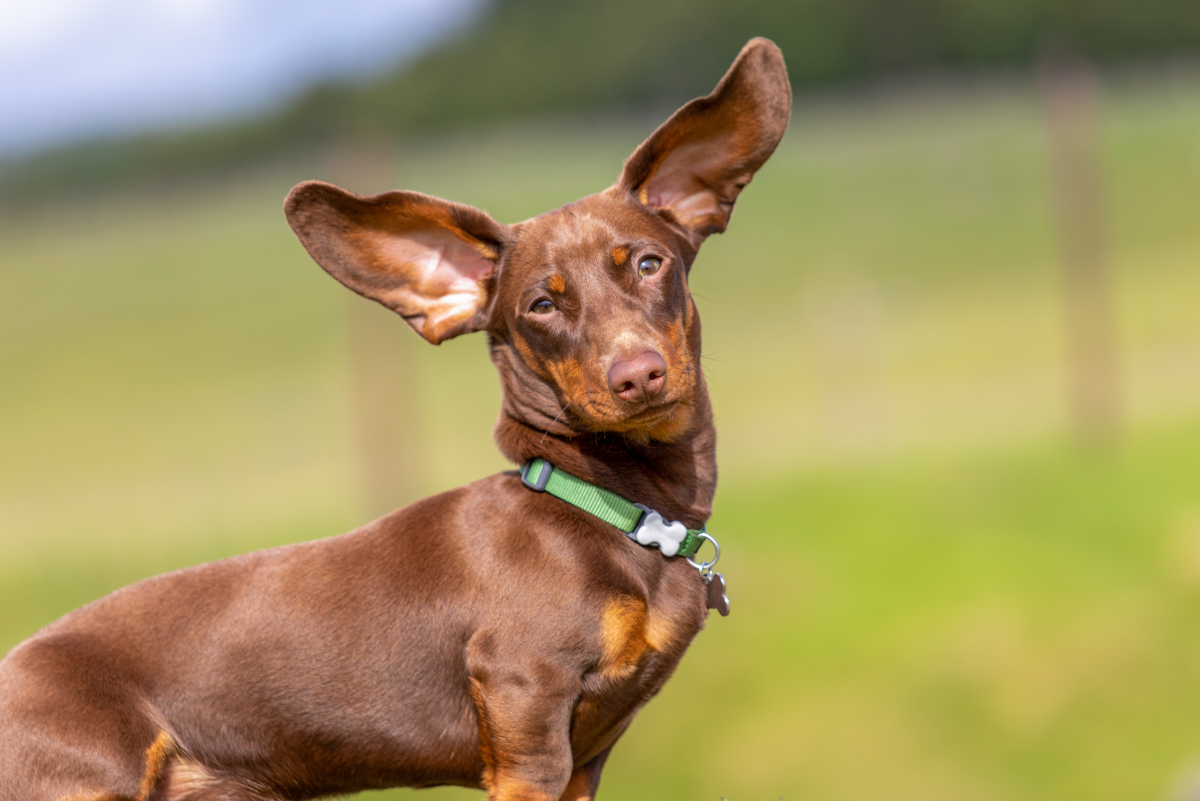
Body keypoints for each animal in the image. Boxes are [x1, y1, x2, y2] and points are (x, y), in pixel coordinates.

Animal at [0, 37, 792, 801]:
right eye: (541, 305)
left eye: (650, 263)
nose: (637, 376)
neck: (611, 508)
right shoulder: (527, 722)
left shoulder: (584, 764)